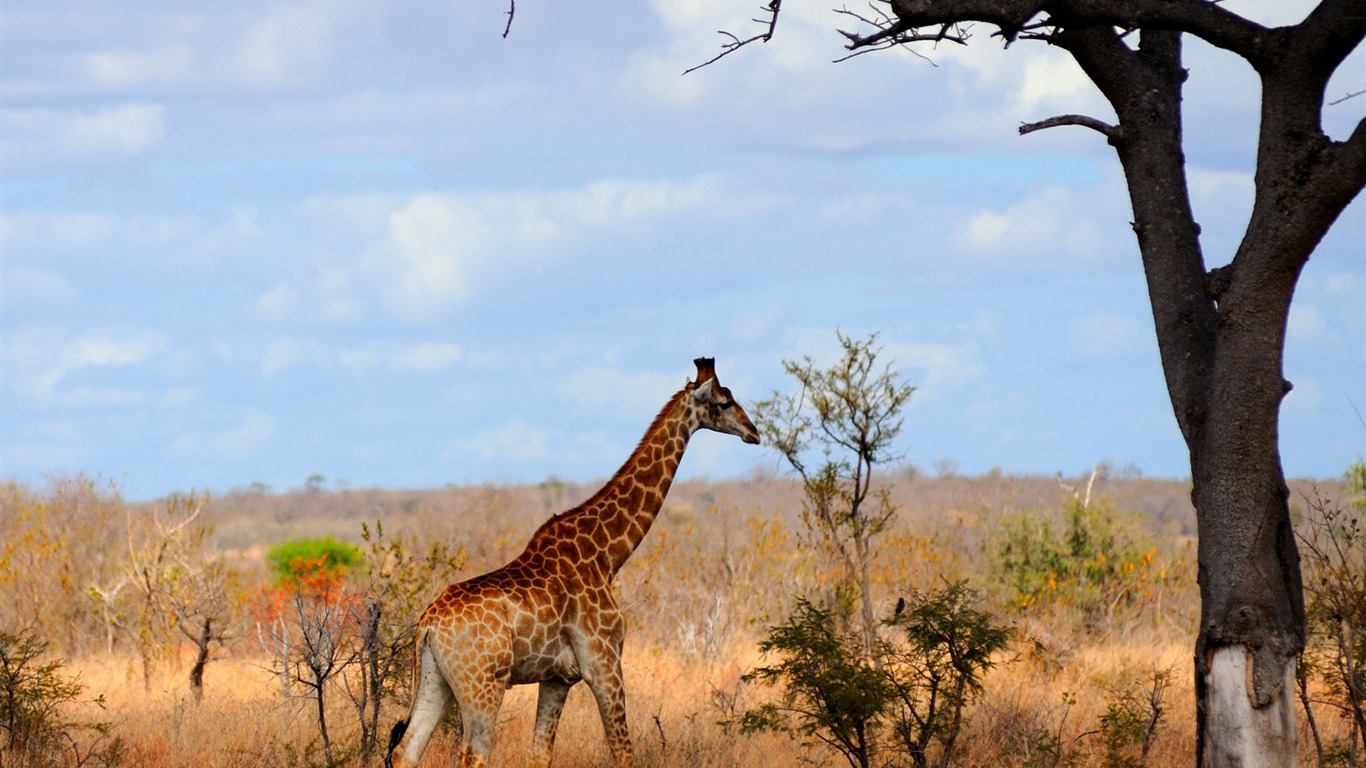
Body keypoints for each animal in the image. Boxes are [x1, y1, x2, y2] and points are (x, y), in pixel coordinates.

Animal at [390, 355, 764, 759]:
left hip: (436, 681)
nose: (754, 433)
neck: (607, 556)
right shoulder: (604, 663)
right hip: (483, 684)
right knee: (474, 753)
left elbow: (540, 753)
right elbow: (623, 751)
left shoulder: (558, 678)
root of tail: (427, 624)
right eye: (724, 403)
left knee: (406, 749)